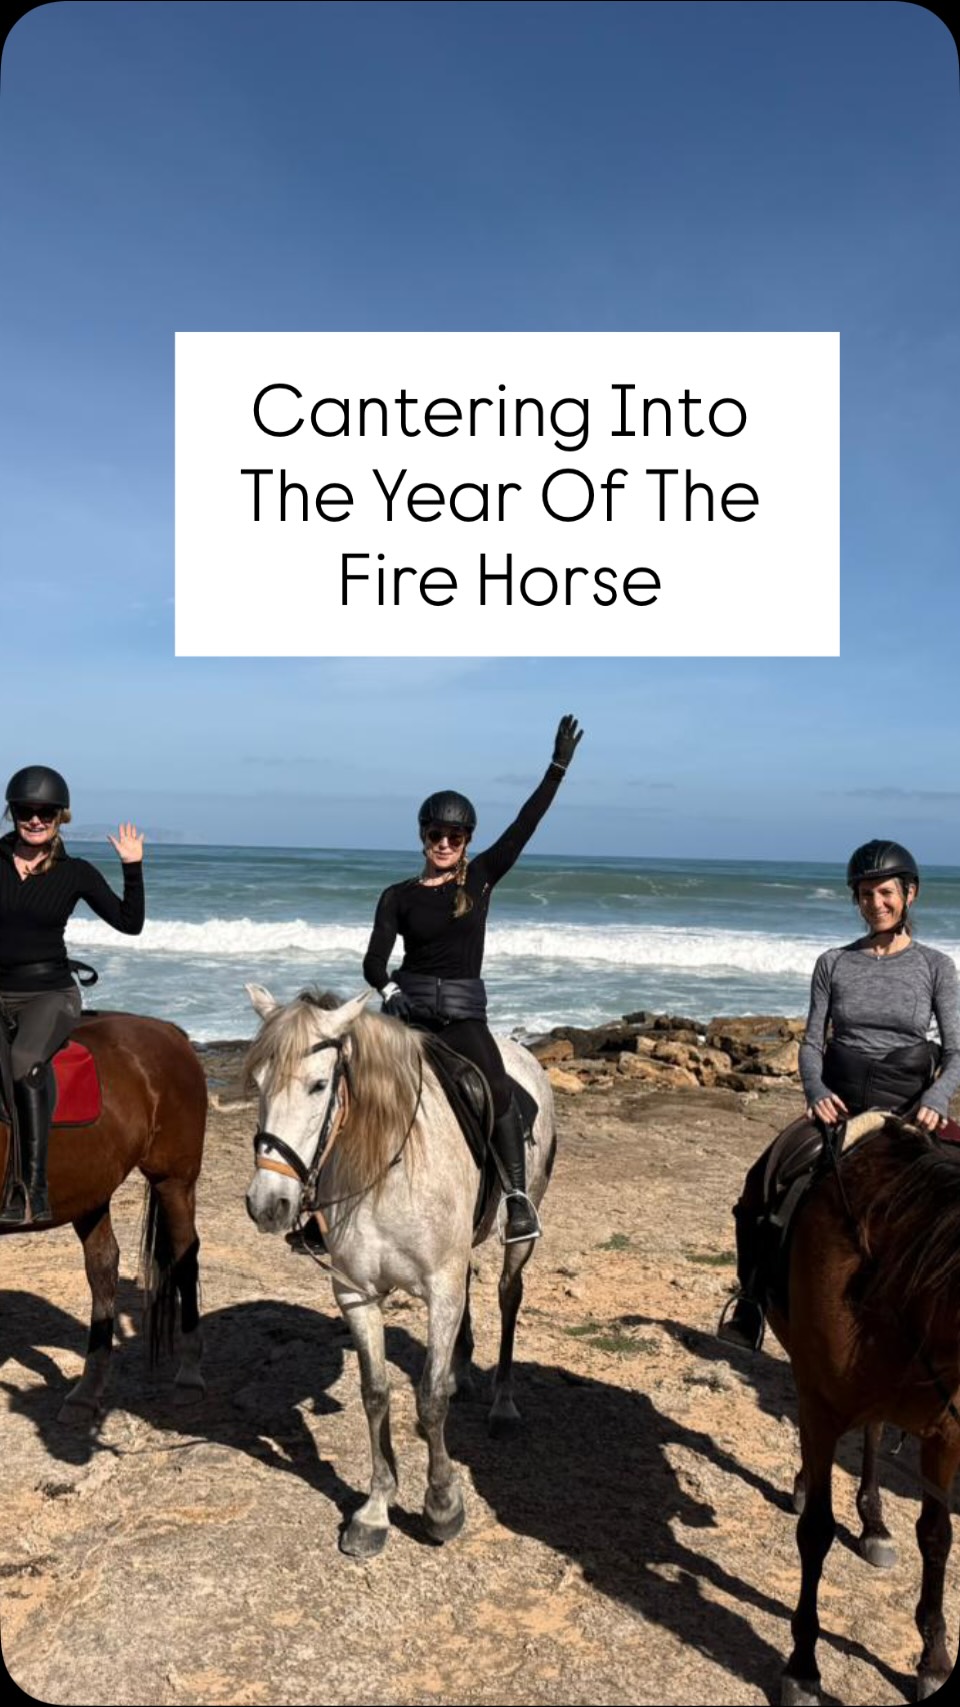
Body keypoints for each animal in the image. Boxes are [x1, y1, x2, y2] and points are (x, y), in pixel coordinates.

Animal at [0, 1012, 207, 1421]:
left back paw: (190, 1376)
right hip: (91, 1191)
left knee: (184, 1259)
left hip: (174, 1180)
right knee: (103, 1269)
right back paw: (86, 1391)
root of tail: (168, 1031)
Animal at [243, 985, 557, 1558]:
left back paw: (502, 1403)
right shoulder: (355, 1293)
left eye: (319, 1085)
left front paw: (442, 1505)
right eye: (258, 1083)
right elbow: (376, 1393)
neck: (384, 1166)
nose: (267, 1204)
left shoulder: (439, 1287)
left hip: (520, 1230)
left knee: (508, 1296)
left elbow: (428, 1401)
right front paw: (374, 1509)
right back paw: (461, 1372)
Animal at [766, 1110, 960, 1704]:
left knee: (873, 1431)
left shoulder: (945, 1433)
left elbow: (937, 1537)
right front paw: (803, 1665)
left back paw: (874, 1522)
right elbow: (816, 1531)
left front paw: (934, 1662)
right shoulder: (821, 1406)